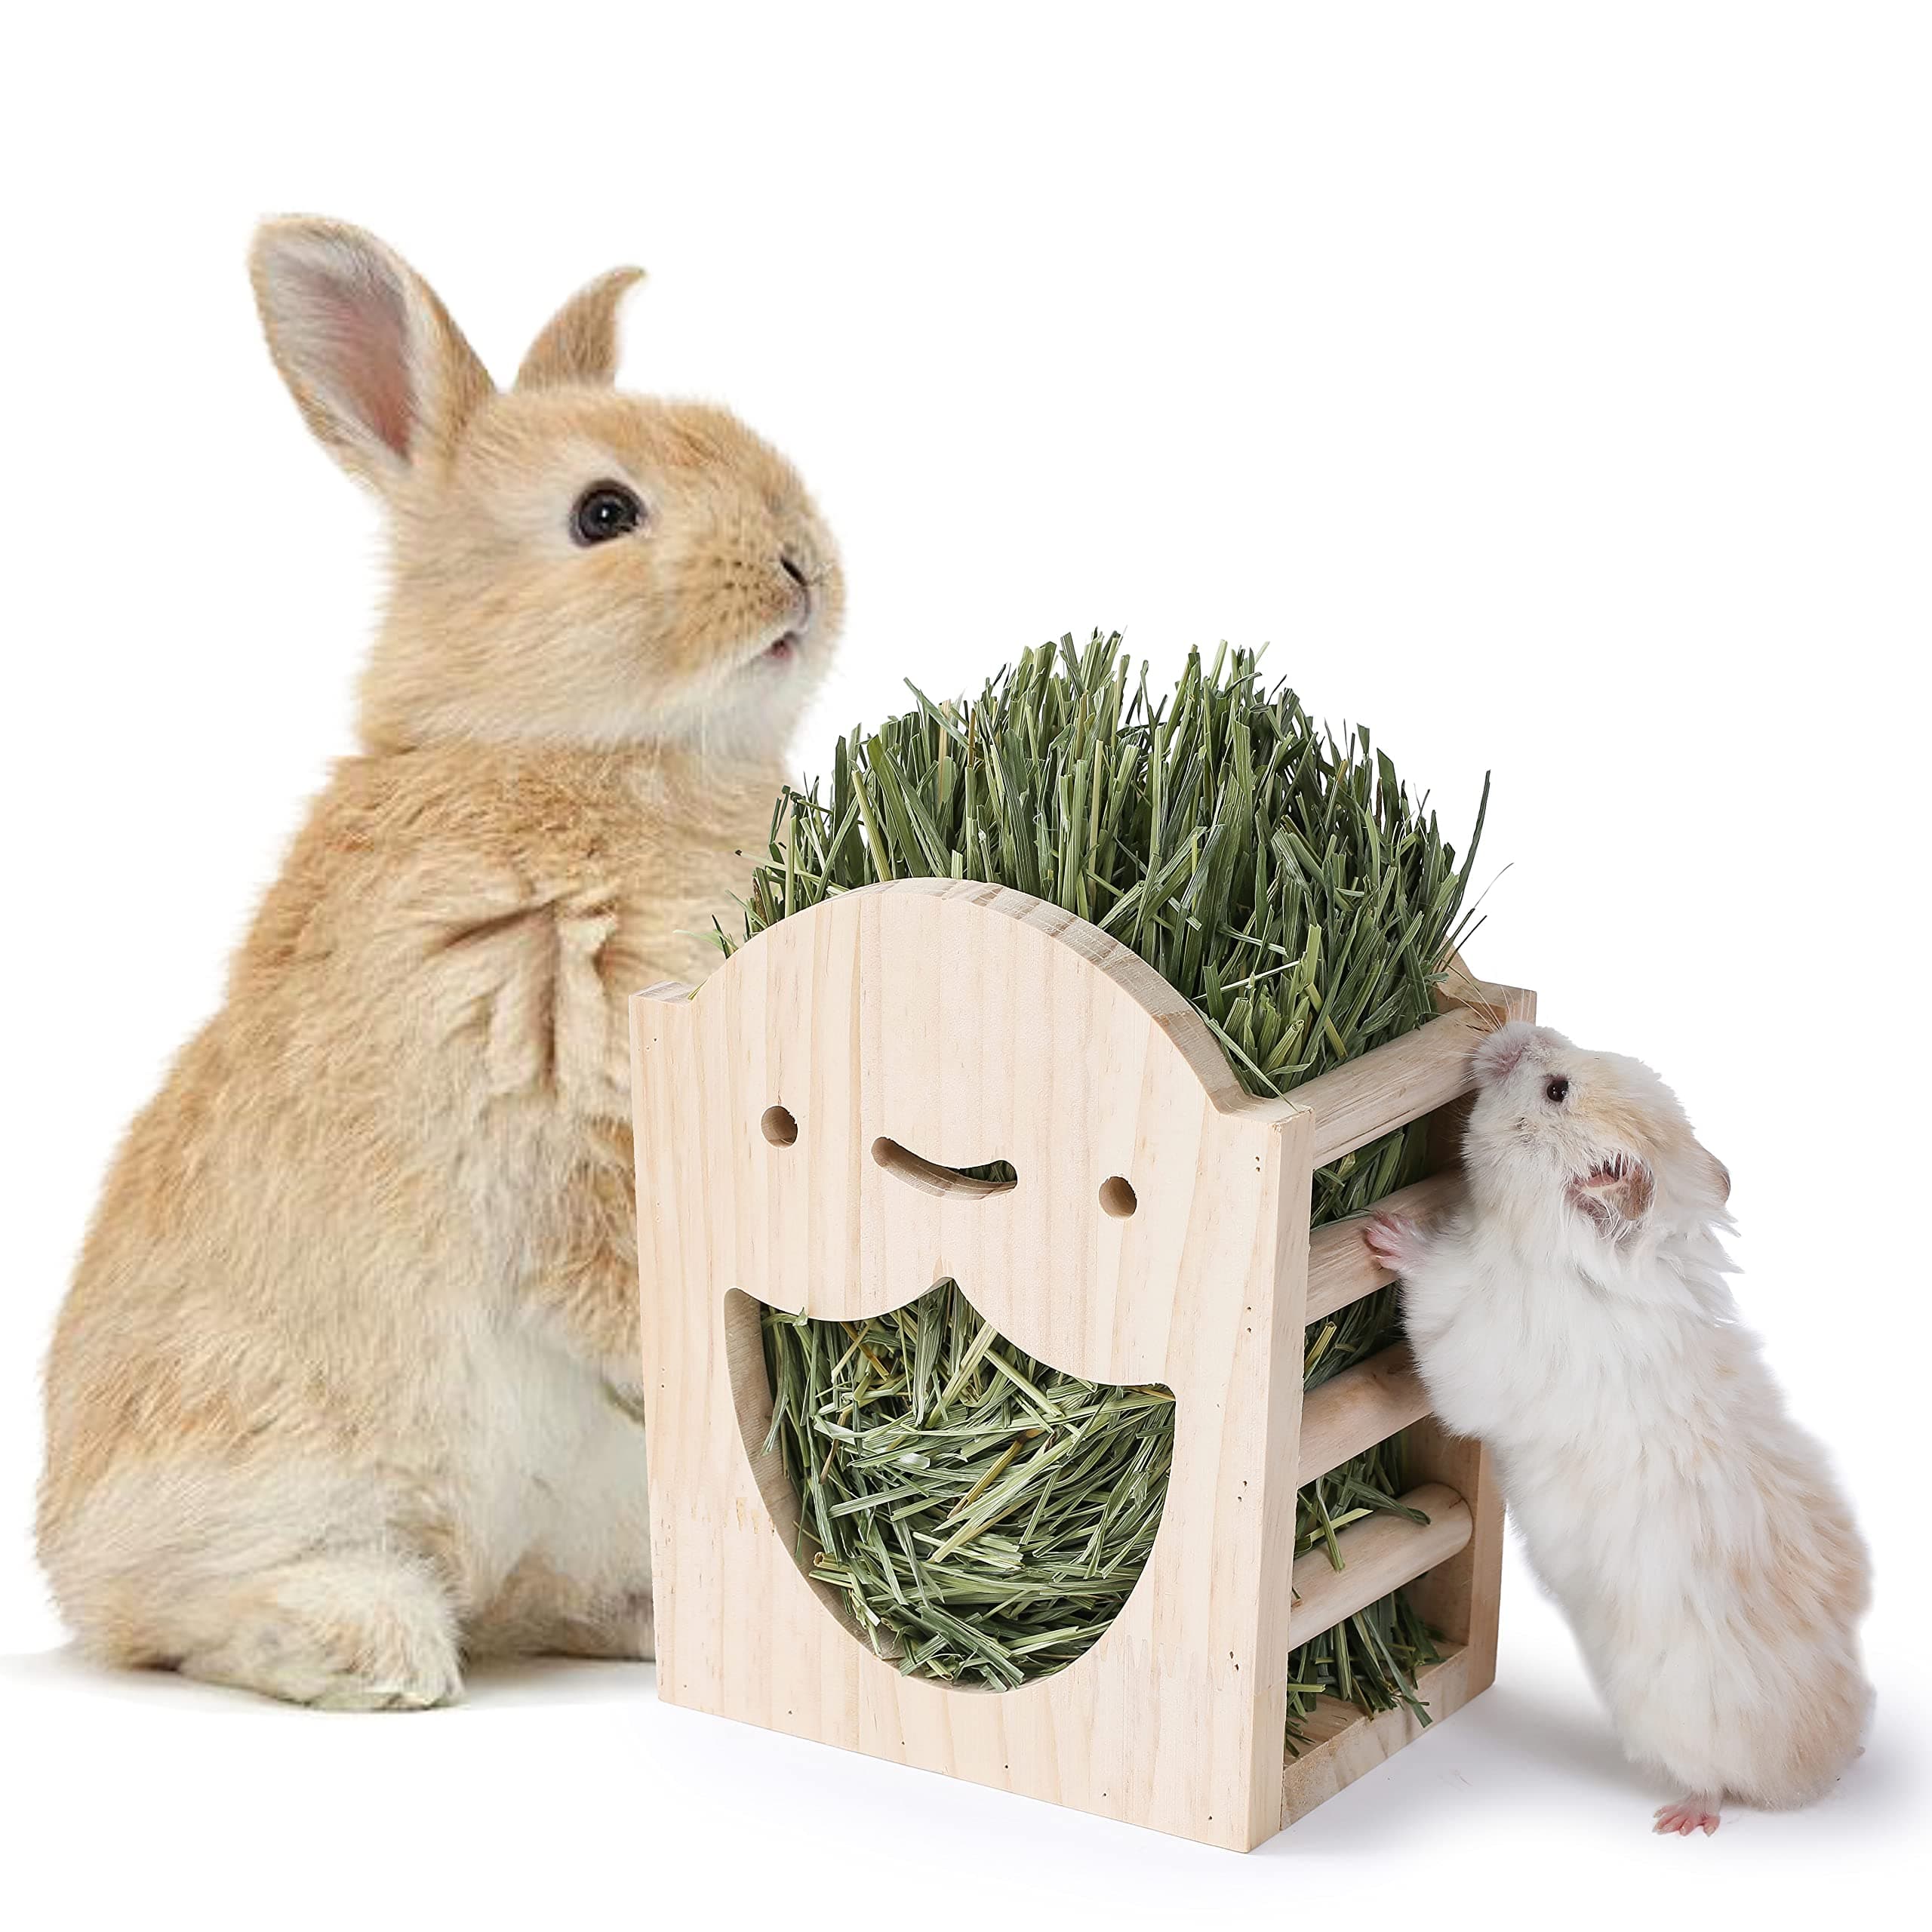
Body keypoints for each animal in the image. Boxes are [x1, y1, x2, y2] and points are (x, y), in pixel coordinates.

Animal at [36, 217, 843, 1709]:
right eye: (603, 514)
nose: (801, 564)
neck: (557, 749)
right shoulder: (553, 1103)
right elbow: (615, 1268)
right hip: (268, 1458)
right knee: (184, 1618)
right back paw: (371, 1644)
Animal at [1364, 1022, 1871, 1835]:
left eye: (1556, 1090)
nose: (1515, 1031)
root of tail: (1814, 1771)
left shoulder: (1471, 1328)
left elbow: (1433, 1285)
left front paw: (1385, 1231)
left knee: (1720, 1786)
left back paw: (1681, 1820)